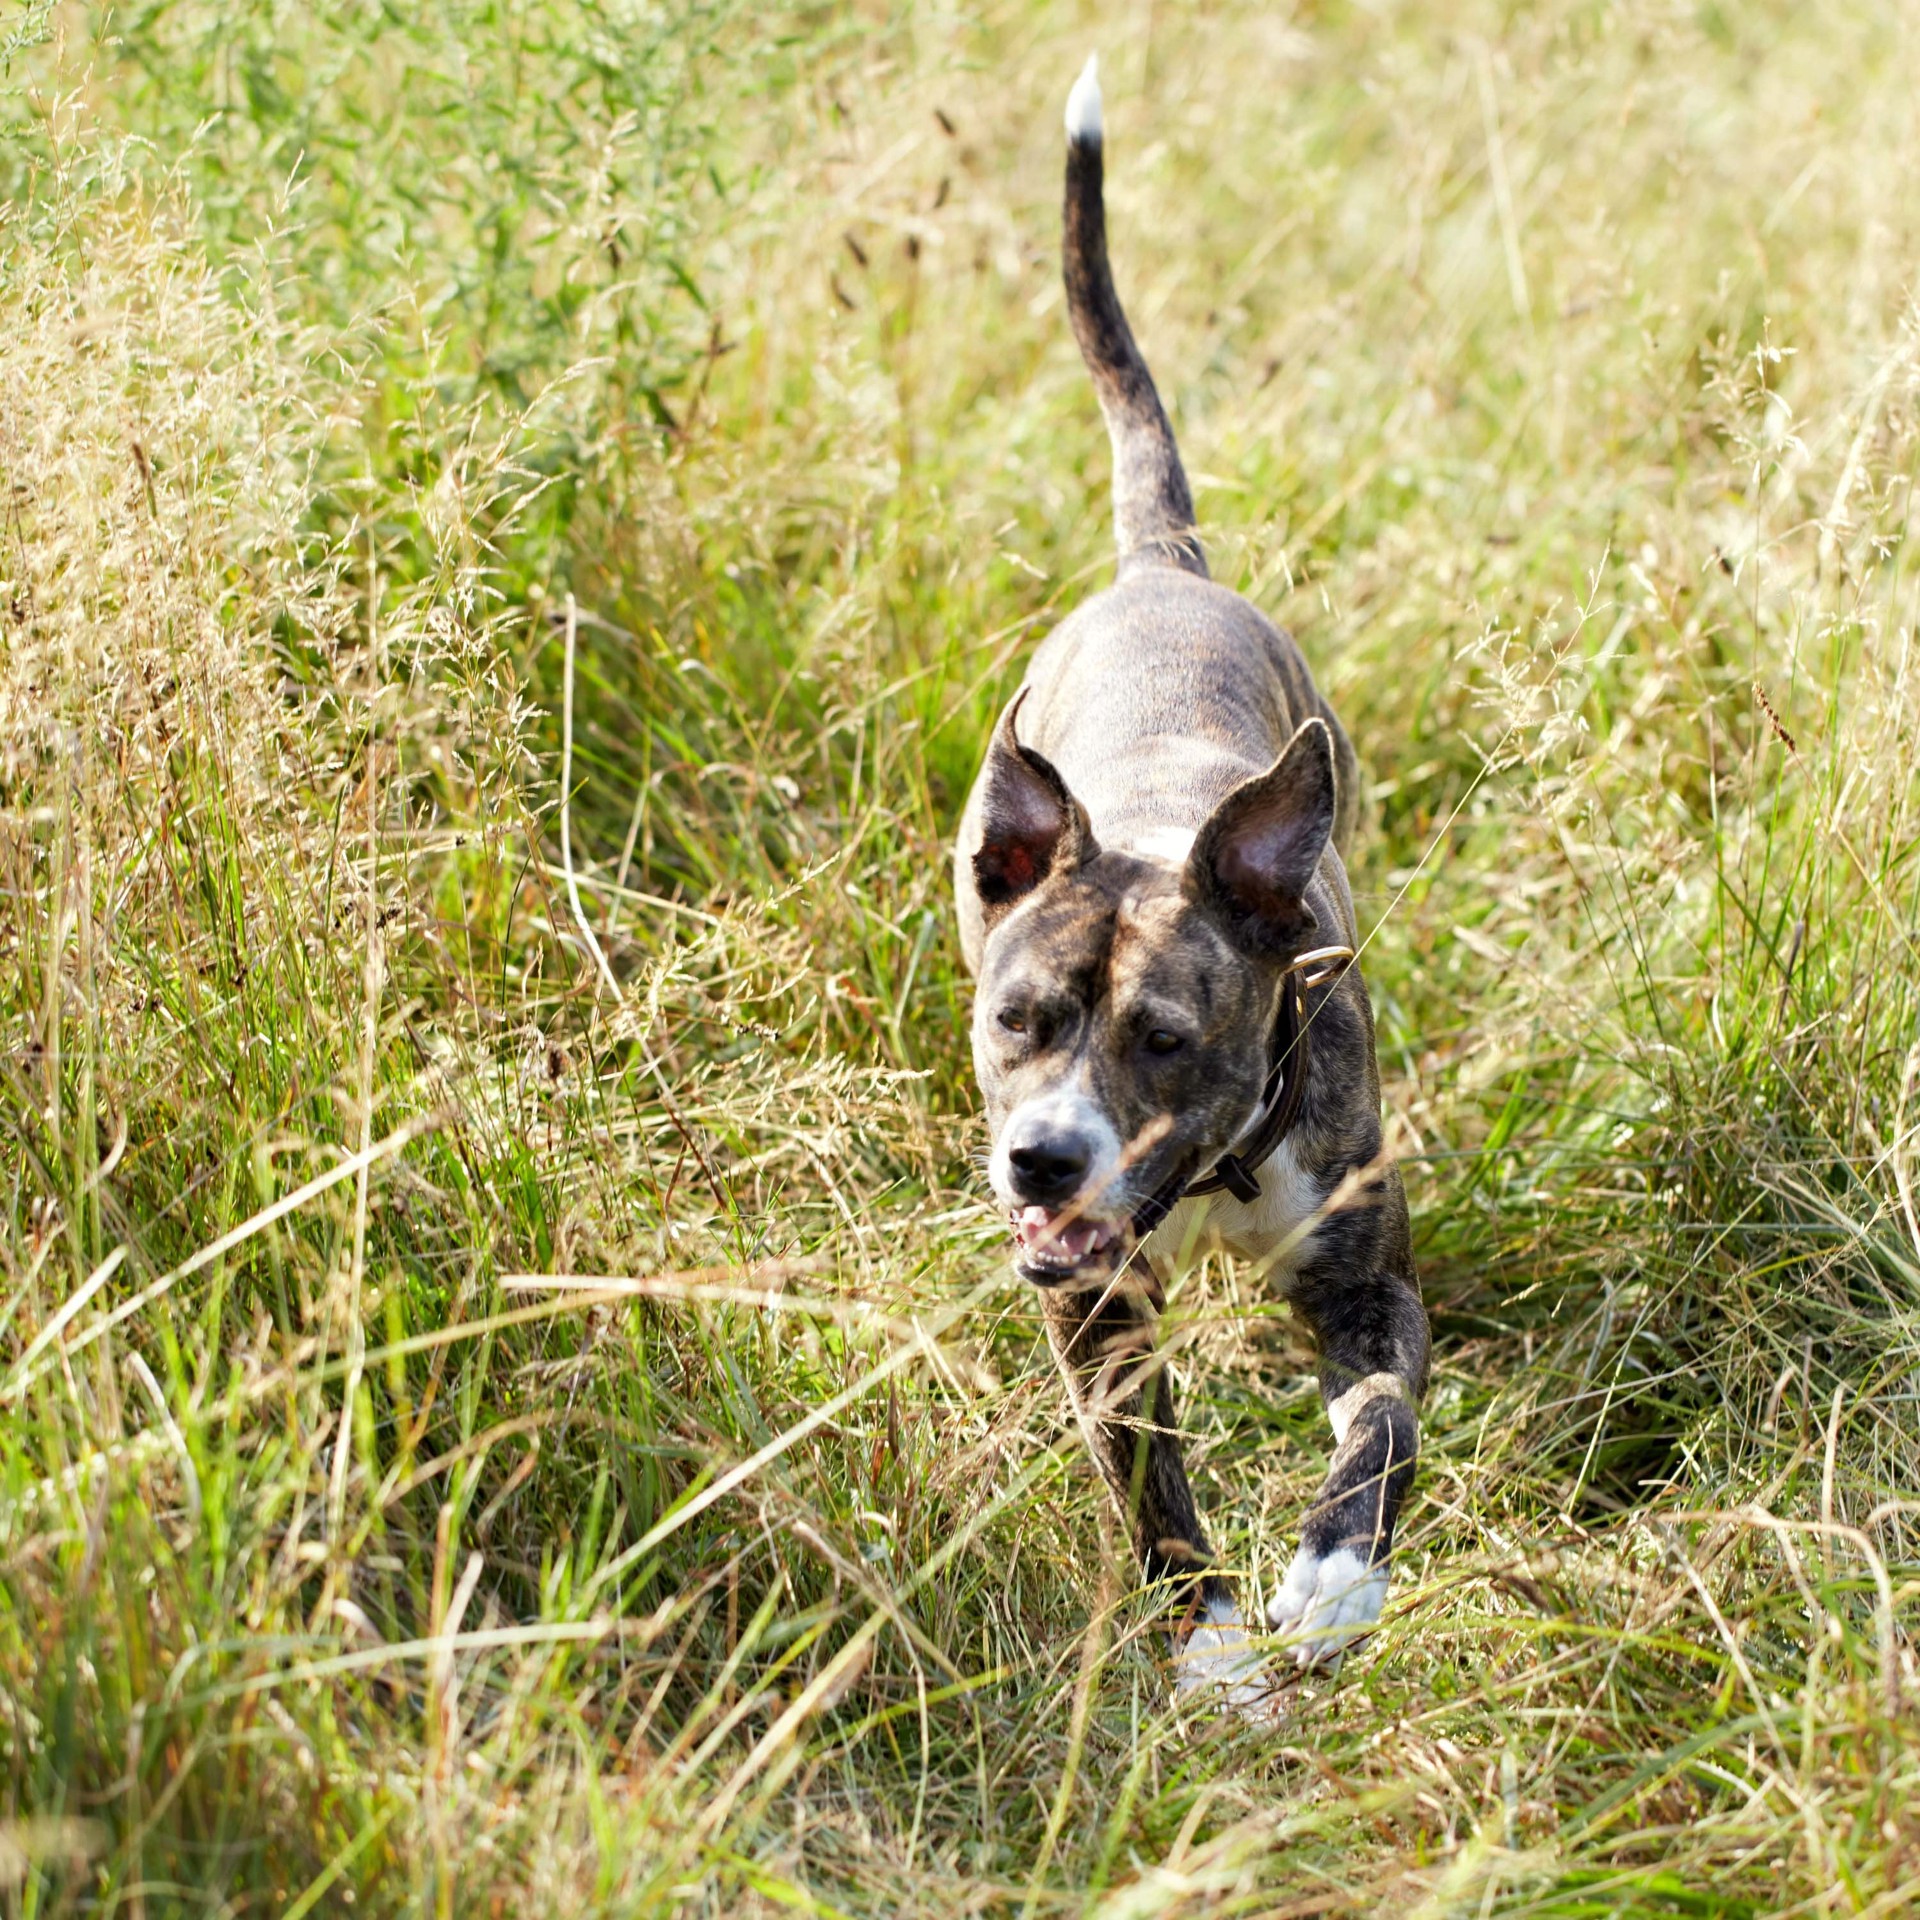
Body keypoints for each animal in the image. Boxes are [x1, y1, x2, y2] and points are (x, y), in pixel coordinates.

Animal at [956, 56, 1428, 1712]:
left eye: (1166, 1036)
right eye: (1016, 1020)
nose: (1040, 1159)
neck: (1214, 1171)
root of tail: (1159, 570)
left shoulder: (1367, 1285)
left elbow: (1382, 1428)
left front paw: (1335, 1581)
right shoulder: (1090, 1311)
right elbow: (1150, 1482)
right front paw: (1215, 1644)